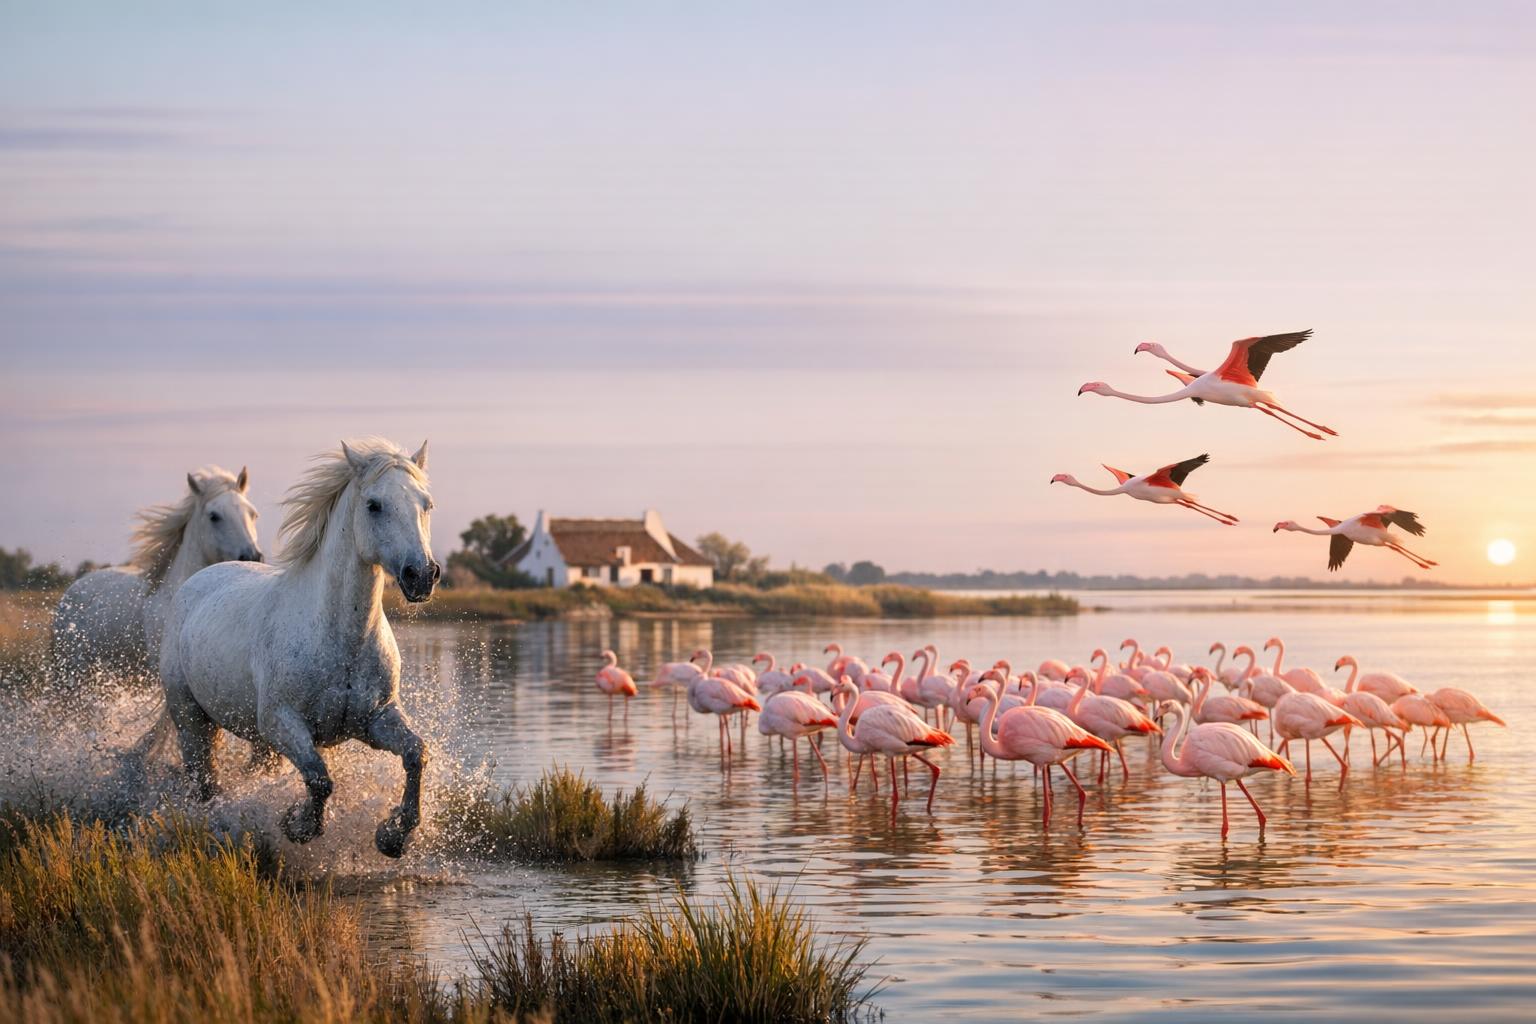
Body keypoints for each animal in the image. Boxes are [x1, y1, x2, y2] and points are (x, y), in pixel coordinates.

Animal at [157, 438, 439, 858]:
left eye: (426, 504)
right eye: (374, 505)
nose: (421, 575)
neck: (341, 641)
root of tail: (199, 579)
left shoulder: (376, 719)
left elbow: (416, 754)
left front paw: (392, 835)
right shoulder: (282, 722)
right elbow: (320, 779)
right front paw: (297, 824)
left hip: (257, 741)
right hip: (190, 719)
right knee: (202, 781)